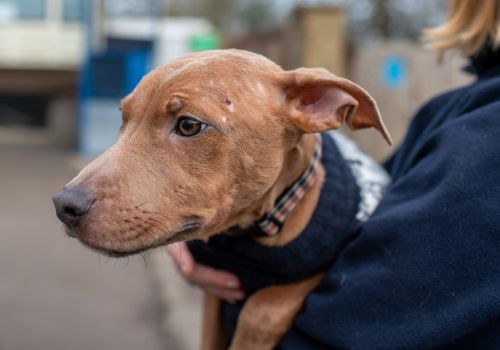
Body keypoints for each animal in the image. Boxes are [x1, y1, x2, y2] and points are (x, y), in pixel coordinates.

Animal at [53, 50, 390, 350]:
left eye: (189, 125)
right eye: (124, 118)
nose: (63, 205)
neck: (252, 232)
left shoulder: (322, 268)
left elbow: (263, 307)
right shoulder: (214, 296)